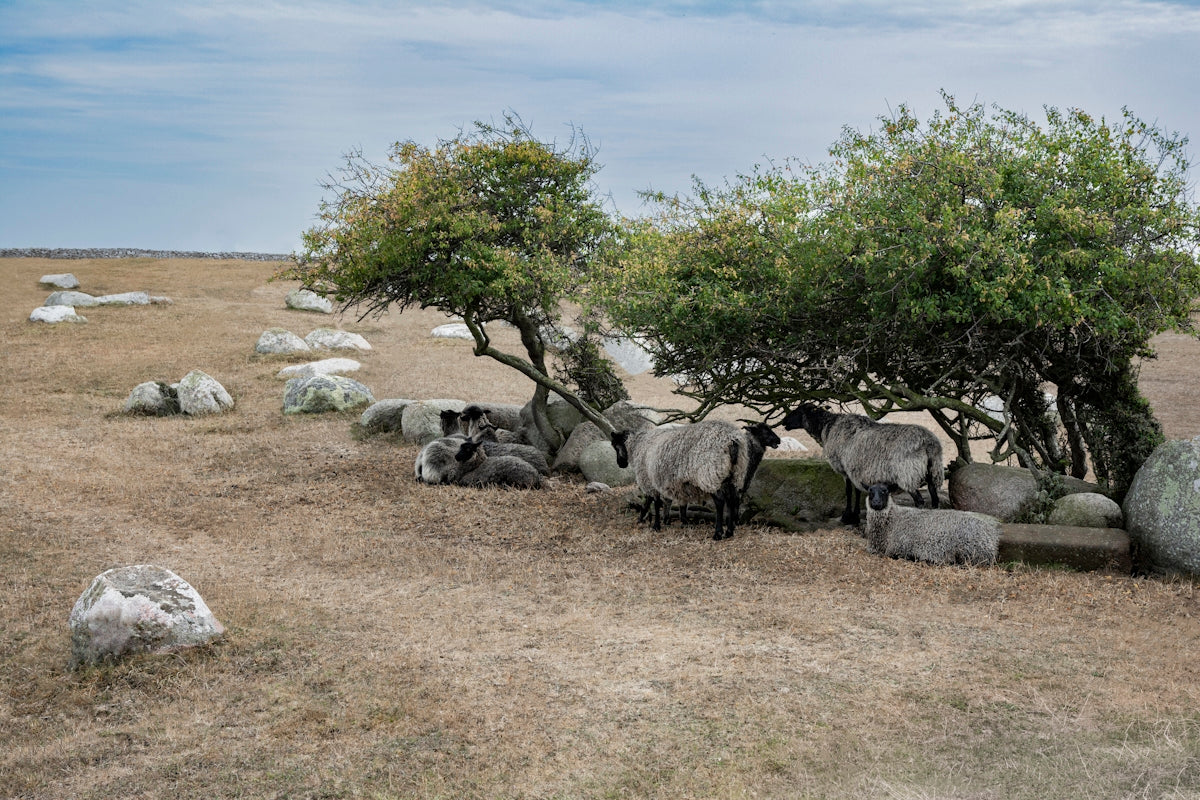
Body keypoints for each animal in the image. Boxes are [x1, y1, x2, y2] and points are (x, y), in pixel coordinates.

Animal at [611, 419, 767, 541]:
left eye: (615, 446)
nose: (620, 464)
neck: (637, 446)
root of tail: (733, 441)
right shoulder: (673, 483)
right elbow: (677, 503)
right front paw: (676, 521)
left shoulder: (649, 479)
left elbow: (653, 502)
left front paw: (654, 524)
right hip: (735, 474)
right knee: (732, 500)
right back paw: (729, 532)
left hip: (710, 473)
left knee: (720, 502)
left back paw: (718, 533)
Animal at [782, 403, 943, 526]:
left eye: (798, 411)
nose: (784, 422)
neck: (827, 427)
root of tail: (929, 442)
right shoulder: (855, 469)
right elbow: (857, 491)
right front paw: (855, 516)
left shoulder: (844, 469)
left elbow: (848, 491)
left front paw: (846, 516)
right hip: (932, 471)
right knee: (934, 498)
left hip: (907, 473)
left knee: (920, 500)